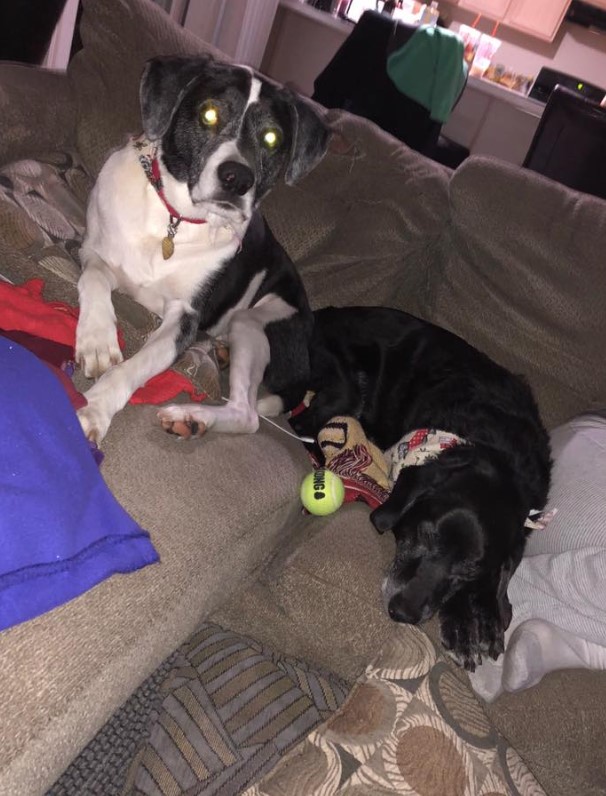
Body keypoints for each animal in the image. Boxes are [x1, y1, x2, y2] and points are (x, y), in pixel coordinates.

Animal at [76, 54, 332, 442]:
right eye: (209, 114)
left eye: (272, 138)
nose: (238, 179)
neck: (174, 220)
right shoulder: (94, 250)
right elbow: (92, 278)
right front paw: (97, 341)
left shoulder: (185, 318)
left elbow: (134, 366)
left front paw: (94, 409)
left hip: (252, 320)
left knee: (247, 414)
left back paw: (191, 417)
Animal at [292, 308, 552, 668]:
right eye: (424, 535)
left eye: (470, 569)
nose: (403, 613)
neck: (497, 449)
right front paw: (463, 625)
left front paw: (485, 613)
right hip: (344, 387)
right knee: (299, 423)